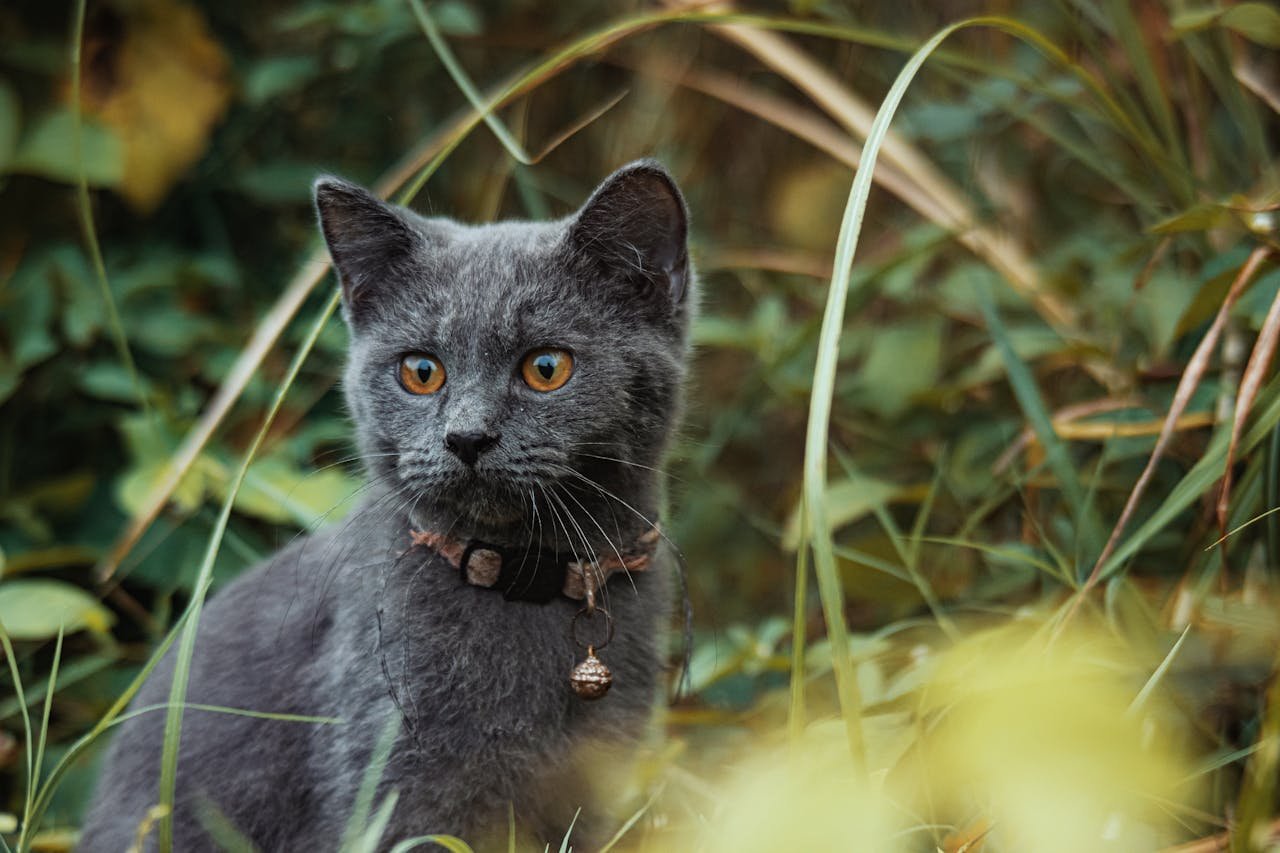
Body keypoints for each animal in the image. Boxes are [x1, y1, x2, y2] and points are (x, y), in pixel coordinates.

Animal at [80, 161, 696, 850]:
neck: (523, 579)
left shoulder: (591, 793)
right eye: (421, 371)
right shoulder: (392, 782)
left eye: (546, 366)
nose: (467, 437)